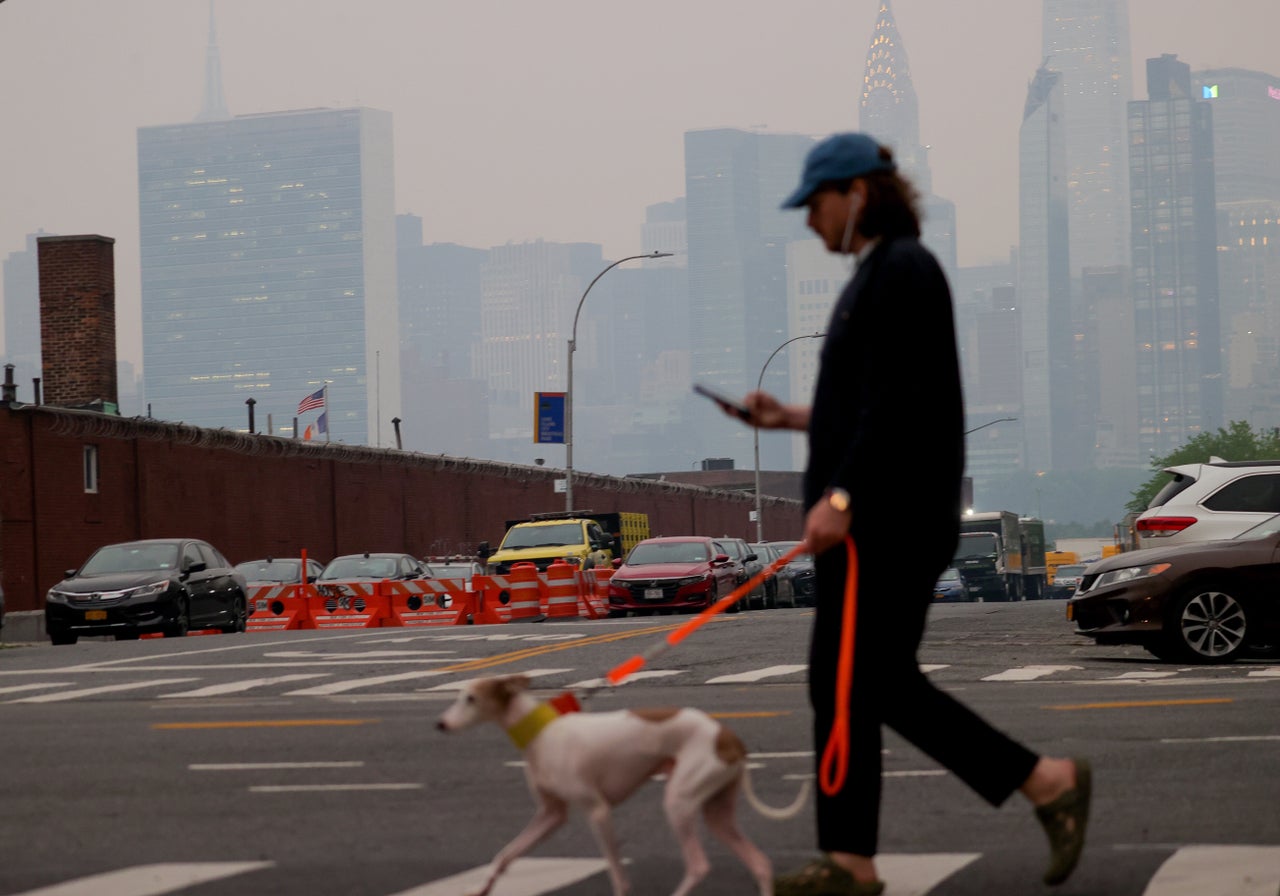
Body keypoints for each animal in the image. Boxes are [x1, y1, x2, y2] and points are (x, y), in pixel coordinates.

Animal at [435, 675, 803, 896]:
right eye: (460, 695)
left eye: (470, 699)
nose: (440, 724)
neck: (541, 734)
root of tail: (729, 738)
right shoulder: (550, 815)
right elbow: (505, 854)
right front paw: (481, 888)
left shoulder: (598, 811)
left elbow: (617, 874)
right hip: (716, 811)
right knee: (760, 862)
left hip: (679, 801)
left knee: (699, 865)